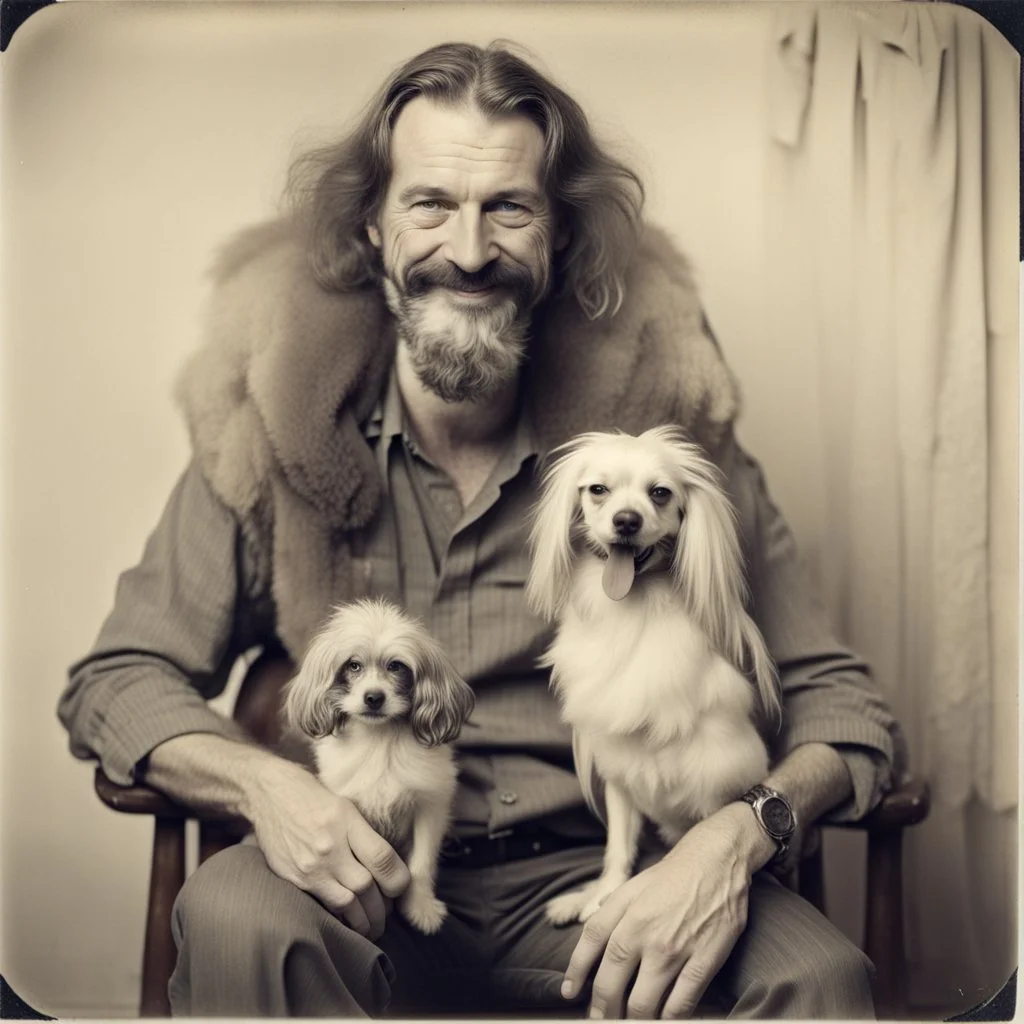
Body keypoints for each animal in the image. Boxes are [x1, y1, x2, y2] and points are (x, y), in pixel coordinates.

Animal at [280, 598, 471, 937]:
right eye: (353, 665)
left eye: (396, 666)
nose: (373, 698)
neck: (380, 741)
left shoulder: (429, 808)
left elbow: (421, 864)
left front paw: (420, 907)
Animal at [524, 428, 778, 925]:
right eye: (597, 489)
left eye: (660, 493)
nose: (626, 520)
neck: (632, 608)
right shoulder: (620, 775)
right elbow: (618, 849)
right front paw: (601, 894)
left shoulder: (713, 785)